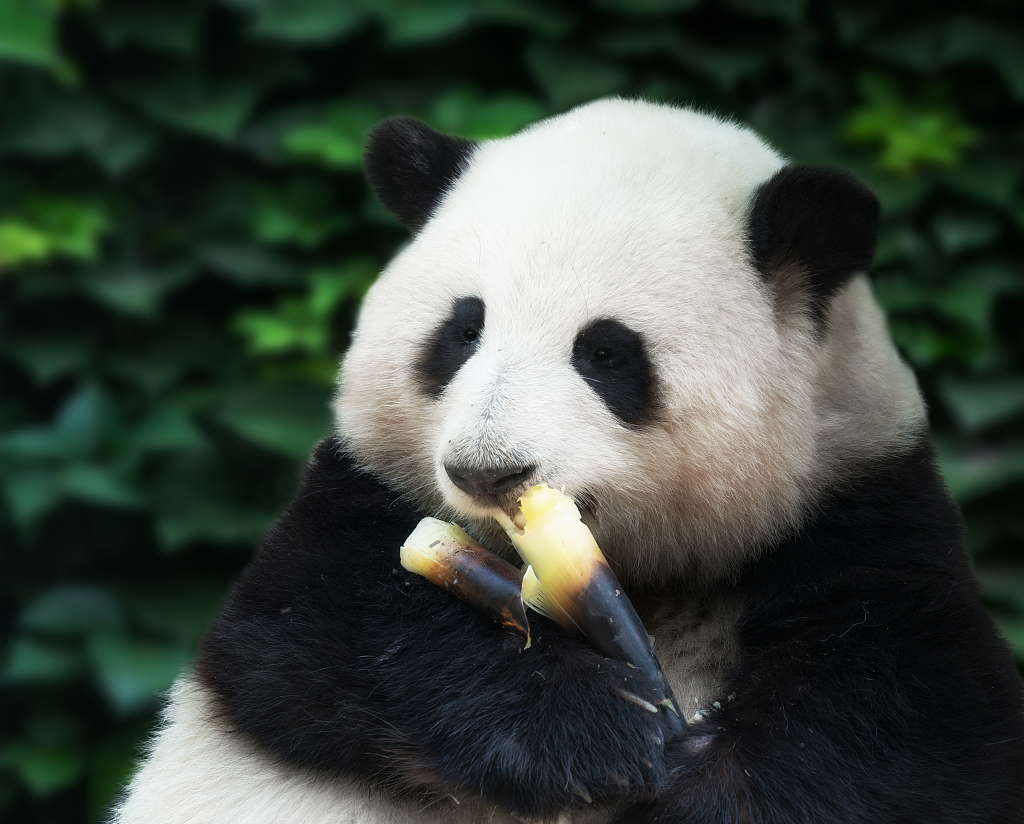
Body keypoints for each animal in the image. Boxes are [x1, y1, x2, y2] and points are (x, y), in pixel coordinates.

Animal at [114, 98, 1024, 822]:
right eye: (462, 330)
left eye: (607, 354)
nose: (487, 471)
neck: (649, 572)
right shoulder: (363, 498)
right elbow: (313, 635)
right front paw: (600, 733)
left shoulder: (858, 501)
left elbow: (900, 717)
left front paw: (702, 787)